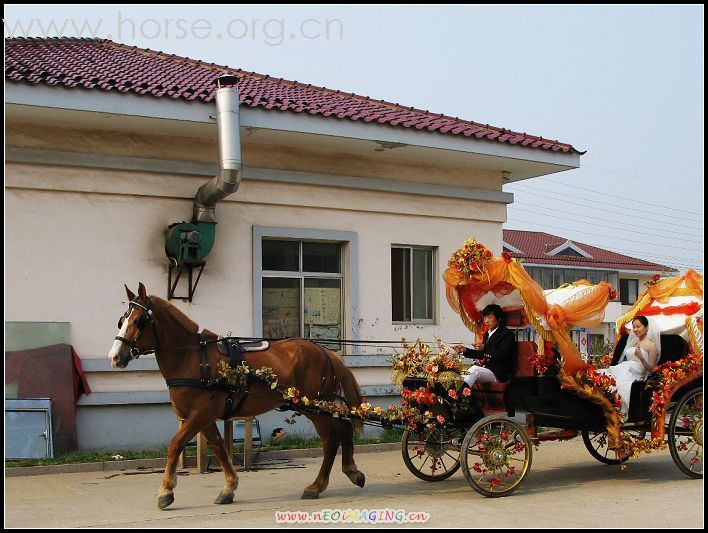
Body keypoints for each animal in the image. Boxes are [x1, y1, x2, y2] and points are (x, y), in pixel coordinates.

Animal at [110, 282, 368, 508]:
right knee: (344, 429)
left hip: (314, 406)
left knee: (331, 440)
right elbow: (219, 448)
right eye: (122, 320)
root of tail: (326, 352)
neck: (193, 358)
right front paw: (229, 487)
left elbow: (175, 444)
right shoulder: (204, 418)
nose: (114, 357)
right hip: (318, 406)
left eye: (138, 320)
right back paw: (352, 471)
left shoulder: (199, 415)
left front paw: (166, 491)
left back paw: (317, 485)